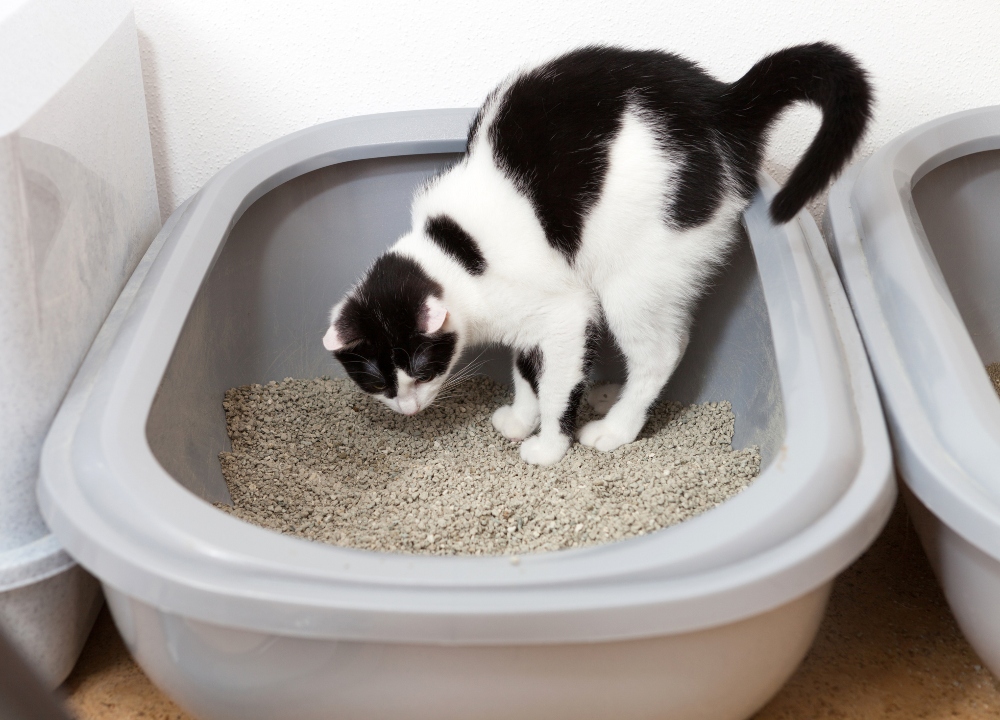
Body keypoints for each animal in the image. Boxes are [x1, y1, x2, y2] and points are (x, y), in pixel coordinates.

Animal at [324, 40, 872, 466]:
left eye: (419, 366)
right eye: (374, 380)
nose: (408, 408)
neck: (455, 254)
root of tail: (722, 103)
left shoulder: (566, 312)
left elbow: (556, 385)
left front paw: (548, 444)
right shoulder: (531, 323)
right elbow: (528, 372)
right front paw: (521, 417)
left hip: (633, 277)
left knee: (663, 351)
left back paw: (616, 428)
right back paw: (608, 396)